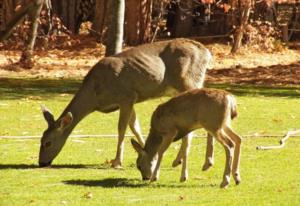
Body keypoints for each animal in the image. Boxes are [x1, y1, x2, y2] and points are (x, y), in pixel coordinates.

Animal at [38, 38, 212, 169]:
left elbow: (122, 128)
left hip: (189, 81)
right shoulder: (130, 100)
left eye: (48, 143)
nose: (41, 163)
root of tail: (206, 52)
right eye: (40, 139)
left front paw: (116, 162)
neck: (95, 95)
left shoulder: (126, 96)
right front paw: (145, 152)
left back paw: (189, 161)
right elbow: (135, 126)